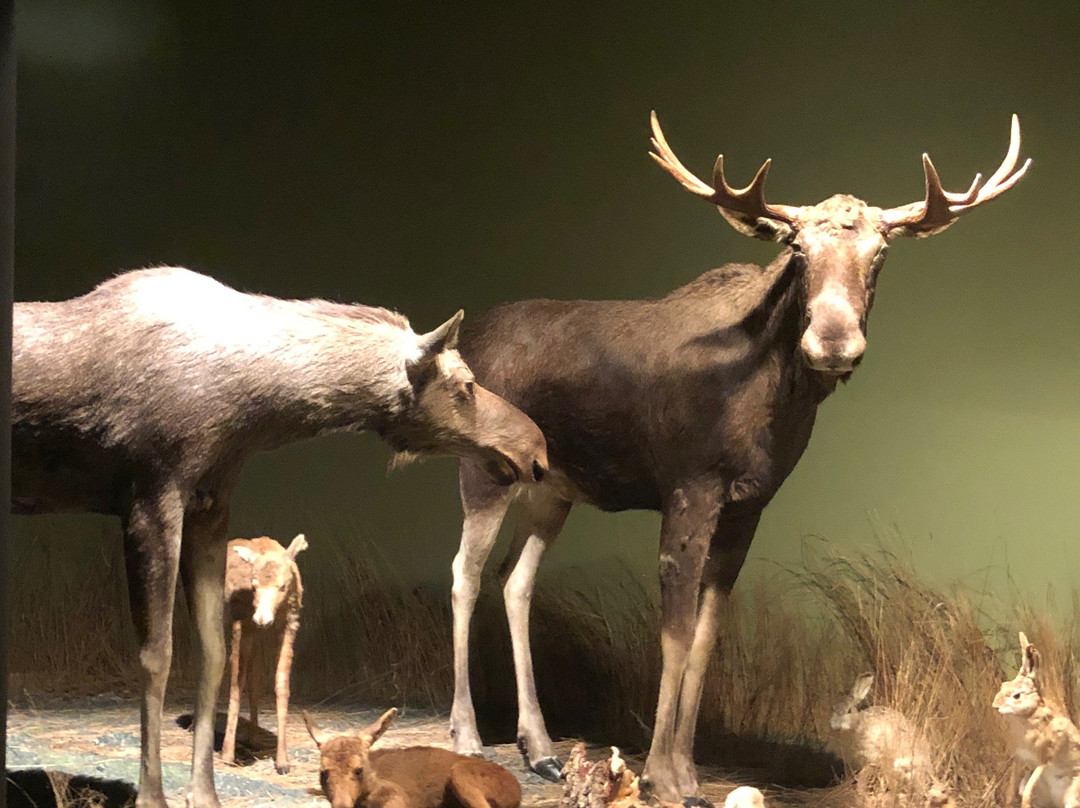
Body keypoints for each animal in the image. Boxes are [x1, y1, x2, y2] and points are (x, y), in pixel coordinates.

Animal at [304, 708, 522, 808]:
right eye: (323, 772)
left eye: (359, 770)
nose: (341, 805)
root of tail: (516, 788)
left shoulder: (400, 798)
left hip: (461, 774)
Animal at [447, 113, 1028, 803]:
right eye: (798, 249)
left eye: (880, 250)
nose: (833, 341)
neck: (771, 406)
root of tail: (460, 342)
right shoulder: (689, 488)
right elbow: (672, 635)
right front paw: (662, 776)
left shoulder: (750, 507)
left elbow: (704, 641)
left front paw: (686, 770)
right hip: (483, 472)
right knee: (464, 574)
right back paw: (467, 734)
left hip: (551, 488)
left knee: (515, 580)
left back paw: (538, 747)